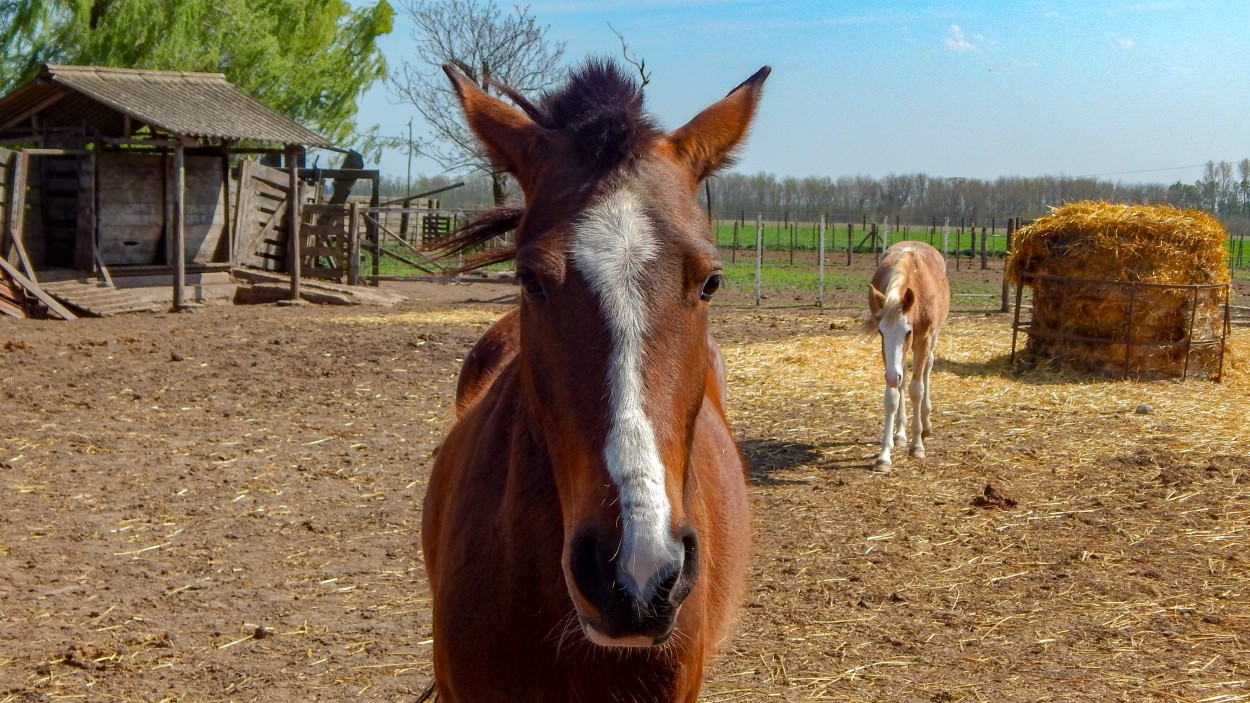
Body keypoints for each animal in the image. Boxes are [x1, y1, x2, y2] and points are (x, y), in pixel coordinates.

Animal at [865, 242, 950, 470]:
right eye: (881, 332)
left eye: (908, 331)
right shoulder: (888, 354)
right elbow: (892, 396)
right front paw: (884, 455)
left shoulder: (923, 340)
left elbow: (916, 390)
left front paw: (917, 446)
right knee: (902, 377)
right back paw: (900, 434)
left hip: (933, 338)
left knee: (927, 368)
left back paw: (926, 423)